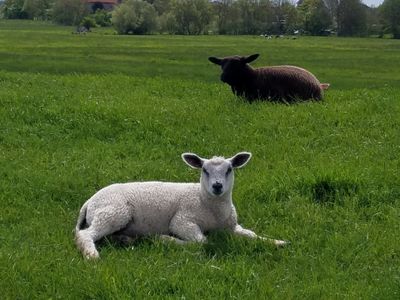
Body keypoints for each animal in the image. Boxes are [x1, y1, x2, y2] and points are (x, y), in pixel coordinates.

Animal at [75, 152, 288, 258]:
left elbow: (251, 235)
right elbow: (201, 242)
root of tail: (89, 201)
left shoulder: (231, 226)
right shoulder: (182, 221)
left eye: (229, 169)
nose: (217, 186)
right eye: (204, 170)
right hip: (114, 212)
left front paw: (277, 242)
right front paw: (165, 239)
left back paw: (125, 240)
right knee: (85, 235)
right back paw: (92, 255)